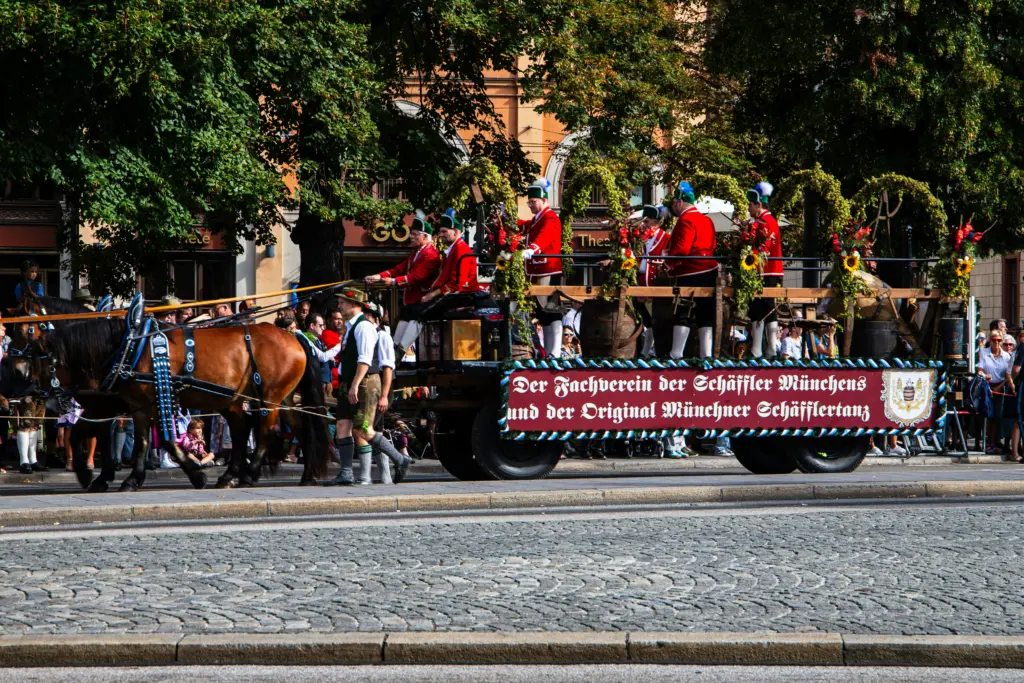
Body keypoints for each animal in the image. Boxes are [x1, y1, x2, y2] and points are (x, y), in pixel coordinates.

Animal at [14, 317, 327, 489]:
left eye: (36, 356)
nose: (22, 383)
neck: (127, 348)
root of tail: (294, 336)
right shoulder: (133, 405)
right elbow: (135, 440)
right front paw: (114, 477)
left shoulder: (136, 404)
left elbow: (158, 440)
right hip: (262, 399)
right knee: (286, 428)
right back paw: (298, 475)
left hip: (270, 399)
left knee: (265, 431)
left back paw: (249, 475)